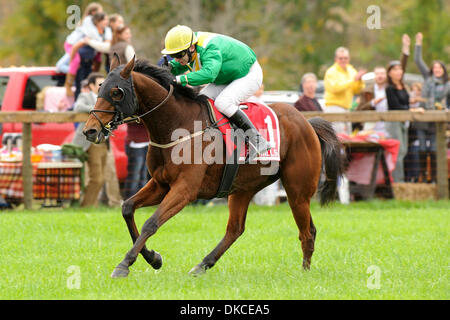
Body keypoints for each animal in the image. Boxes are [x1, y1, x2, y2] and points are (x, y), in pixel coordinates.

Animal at [82, 55, 342, 278]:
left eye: (116, 92)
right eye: (99, 88)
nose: (90, 130)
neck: (176, 126)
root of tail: (306, 122)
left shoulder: (185, 190)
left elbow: (151, 222)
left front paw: (125, 264)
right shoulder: (160, 184)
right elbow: (127, 208)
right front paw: (153, 258)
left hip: (297, 191)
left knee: (307, 231)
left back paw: (304, 271)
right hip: (243, 188)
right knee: (235, 229)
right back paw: (203, 264)